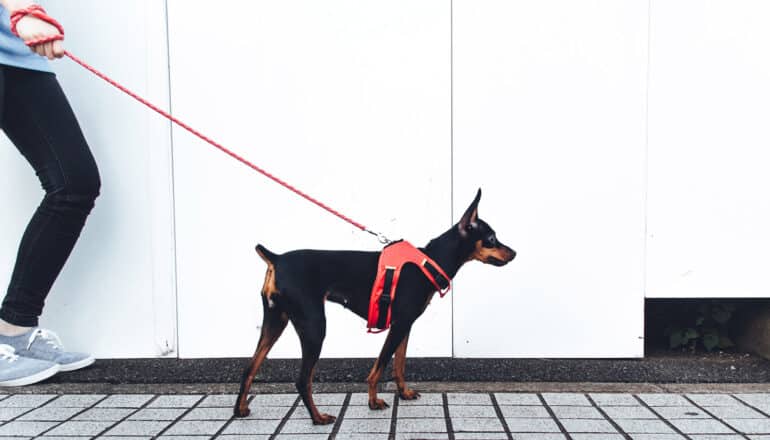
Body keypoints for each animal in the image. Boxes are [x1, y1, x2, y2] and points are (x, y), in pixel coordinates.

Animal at [231, 189, 512, 422]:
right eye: (491, 238)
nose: (514, 253)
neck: (430, 260)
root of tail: (276, 259)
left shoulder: (405, 325)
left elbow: (399, 363)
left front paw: (404, 392)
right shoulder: (399, 325)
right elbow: (380, 366)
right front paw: (374, 401)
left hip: (275, 320)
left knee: (249, 367)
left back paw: (240, 409)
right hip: (313, 325)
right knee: (302, 380)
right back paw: (318, 418)